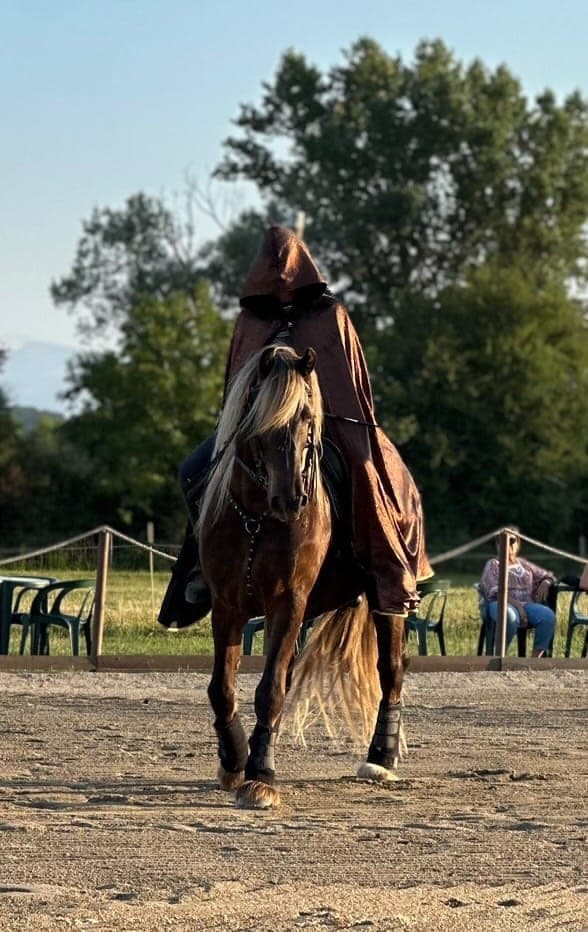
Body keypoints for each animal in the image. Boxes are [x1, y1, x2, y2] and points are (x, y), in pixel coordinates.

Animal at [198, 343, 408, 809]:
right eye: (262, 422)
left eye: (308, 419)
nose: (291, 499)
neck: (255, 518)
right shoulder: (227, 605)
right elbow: (223, 687)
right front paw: (233, 759)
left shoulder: (287, 602)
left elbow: (270, 690)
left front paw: (261, 775)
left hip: (388, 599)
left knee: (391, 668)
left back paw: (380, 757)